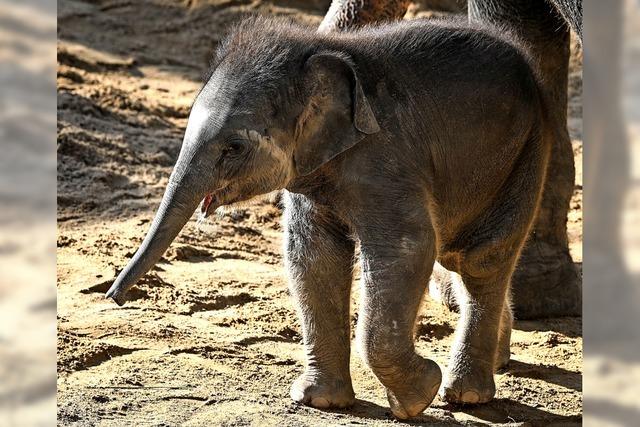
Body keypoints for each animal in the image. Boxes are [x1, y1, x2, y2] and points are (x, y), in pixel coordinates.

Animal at [105, 15, 552, 418]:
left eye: (234, 147)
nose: (112, 297)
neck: (318, 50)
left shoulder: (388, 161)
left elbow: (407, 249)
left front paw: (419, 394)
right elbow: (313, 256)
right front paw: (319, 401)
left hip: (527, 152)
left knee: (480, 259)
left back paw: (466, 395)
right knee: (459, 260)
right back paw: (496, 361)